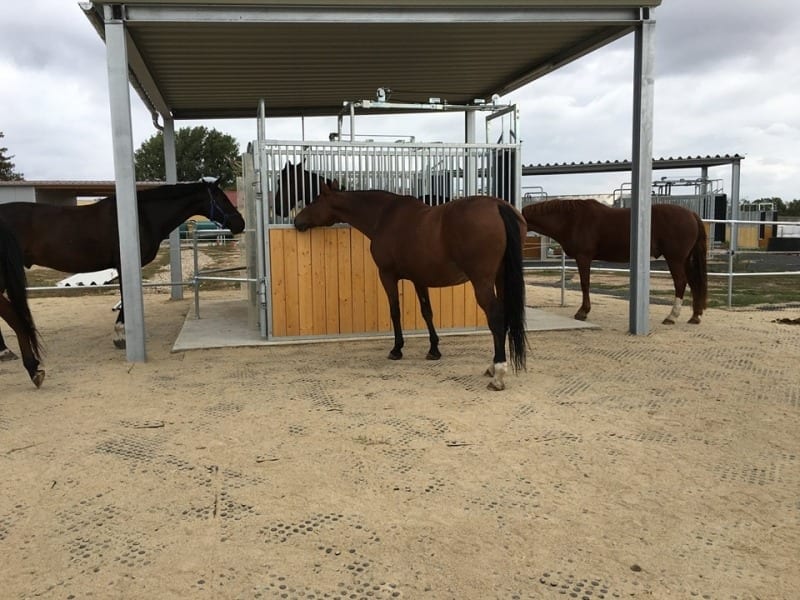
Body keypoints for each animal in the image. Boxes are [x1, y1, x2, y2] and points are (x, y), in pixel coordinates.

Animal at [0, 179, 245, 351]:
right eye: (223, 199)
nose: (240, 223)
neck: (141, 217)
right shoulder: (122, 264)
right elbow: (125, 298)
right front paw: (120, 335)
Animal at [294, 183, 528, 391]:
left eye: (315, 200)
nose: (297, 221)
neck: (383, 217)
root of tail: (498, 206)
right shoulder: (419, 279)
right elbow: (427, 312)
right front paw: (434, 350)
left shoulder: (387, 275)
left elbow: (395, 311)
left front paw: (397, 349)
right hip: (500, 278)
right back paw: (492, 367)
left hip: (482, 281)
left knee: (496, 317)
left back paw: (498, 374)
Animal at [522, 199, 708, 324]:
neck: (571, 220)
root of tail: (692, 214)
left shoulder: (583, 257)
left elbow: (585, 283)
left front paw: (583, 312)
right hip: (686, 260)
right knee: (693, 282)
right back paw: (695, 316)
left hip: (675, 259)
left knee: (681, 282)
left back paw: (671, 316)